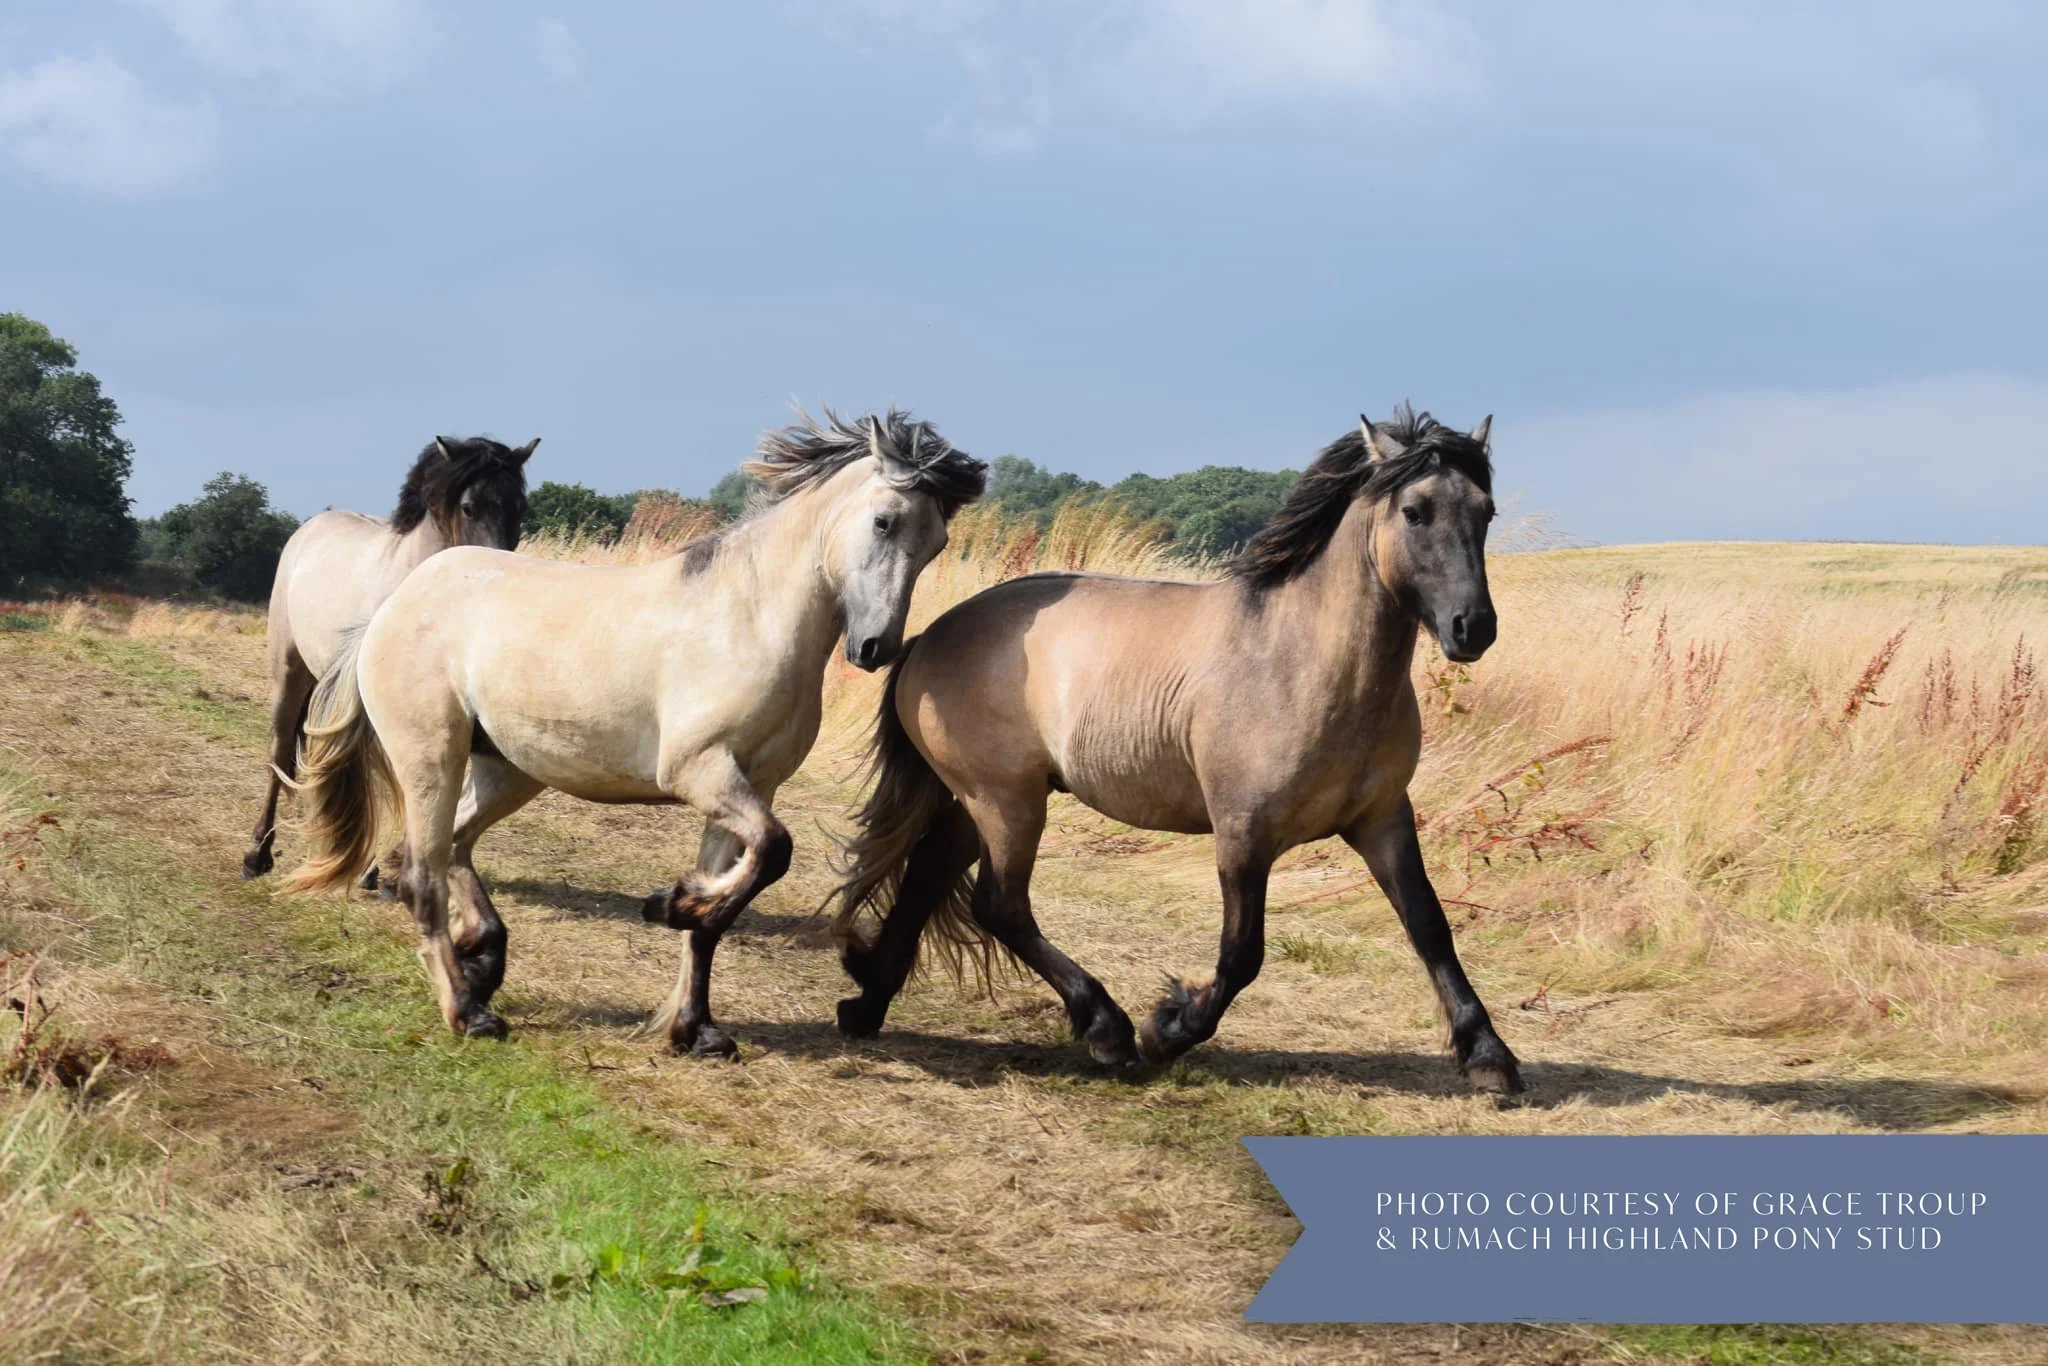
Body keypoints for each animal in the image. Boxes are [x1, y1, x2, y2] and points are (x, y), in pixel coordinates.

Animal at [240, 435, 538, 882]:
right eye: (469, 506)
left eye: (521, 507)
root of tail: (310, 528)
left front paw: (383, 870)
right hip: (288, 668)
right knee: (280, 748)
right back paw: (257, 853)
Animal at [282, 408, 987, 1053]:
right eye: (884, 521)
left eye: (938, 543)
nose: (875, 649)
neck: (749, 617)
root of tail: (393, 607)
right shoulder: (699, 770)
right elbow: (775, 850)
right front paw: (669, 903)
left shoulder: (751, 785)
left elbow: (730, 903)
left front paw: (696, 1027)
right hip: (432, 756)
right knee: (422, 874)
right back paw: (469, 1011)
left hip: (508, 768)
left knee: (447, 847)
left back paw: (483, 958)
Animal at [829, 406, 1525, 1093]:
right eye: (1415, 511)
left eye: (1486, 510)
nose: (1474, 628)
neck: (1304, 663)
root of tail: (926, 637)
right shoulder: (1243, 829)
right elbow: (1243, 953)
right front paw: (1168, 1030)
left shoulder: (1383, 820)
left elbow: (1430, 926)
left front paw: (1489, 1054)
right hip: (1007, 802)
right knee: (1000, 905)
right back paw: (1105, 1028)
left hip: (988, 800)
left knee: (931, 870)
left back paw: (869, 1001)